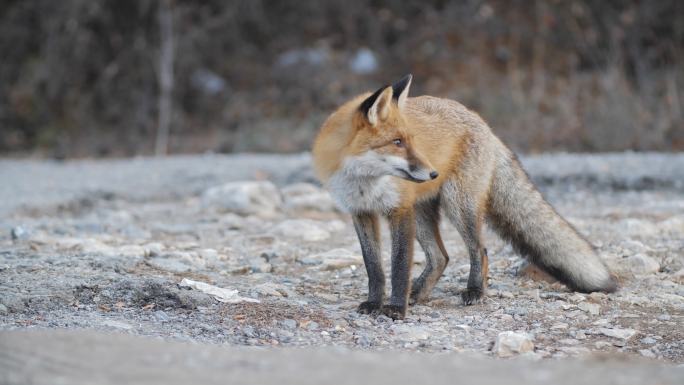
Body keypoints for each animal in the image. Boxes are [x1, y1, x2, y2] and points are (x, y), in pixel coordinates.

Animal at [312, 74, 616, 318]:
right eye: (397, 142)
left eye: (411, 141)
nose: (432, 173)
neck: (364, 182)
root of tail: (482, 121)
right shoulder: (361, 212)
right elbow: (374, 267)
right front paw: (375, 303)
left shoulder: (399, 209)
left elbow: (398, 266)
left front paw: (396, 308)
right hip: (423, 212)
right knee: (441, 257)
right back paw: (418, 293)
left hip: (457, 205)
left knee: (479, 249)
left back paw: (474, 291)